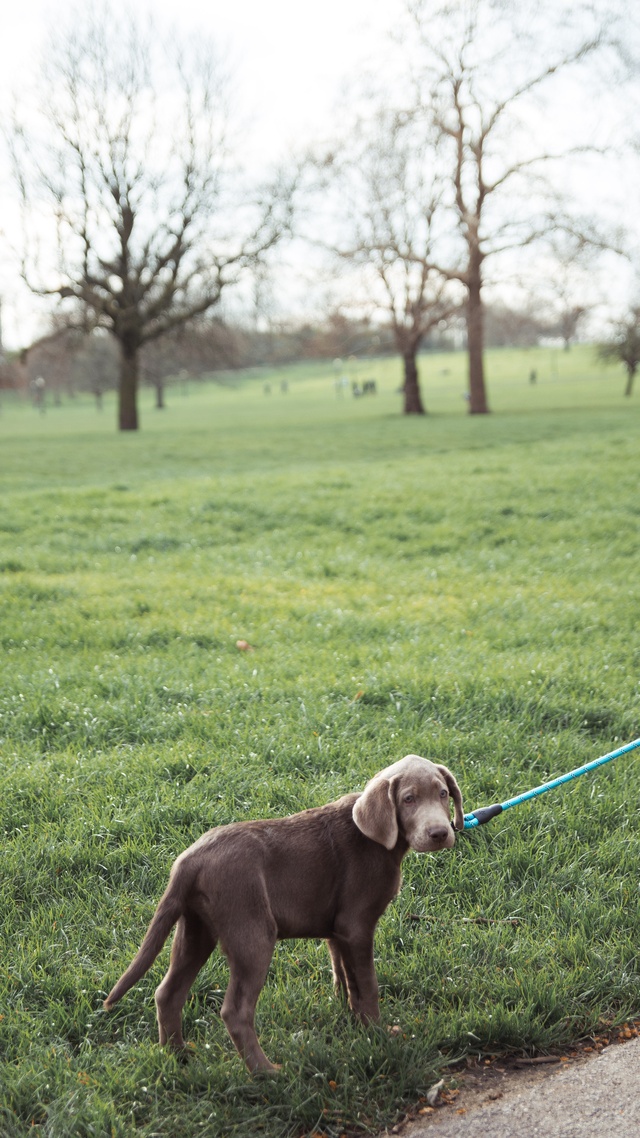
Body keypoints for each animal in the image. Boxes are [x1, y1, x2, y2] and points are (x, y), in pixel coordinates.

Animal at [104, 760, 462, 1069]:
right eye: (408, 799)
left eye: (443, 793)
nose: (440, 834)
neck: (378, 839)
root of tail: (188, 861)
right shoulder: (357, 926)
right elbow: (368, 984)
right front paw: (378, 1035)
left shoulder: (338, 930)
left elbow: (345, 979)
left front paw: (353, 1022)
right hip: (252, 934)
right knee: (235, 1011)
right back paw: (266, 1072)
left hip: (195, 929)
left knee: (167, 993)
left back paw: (178, 1058)